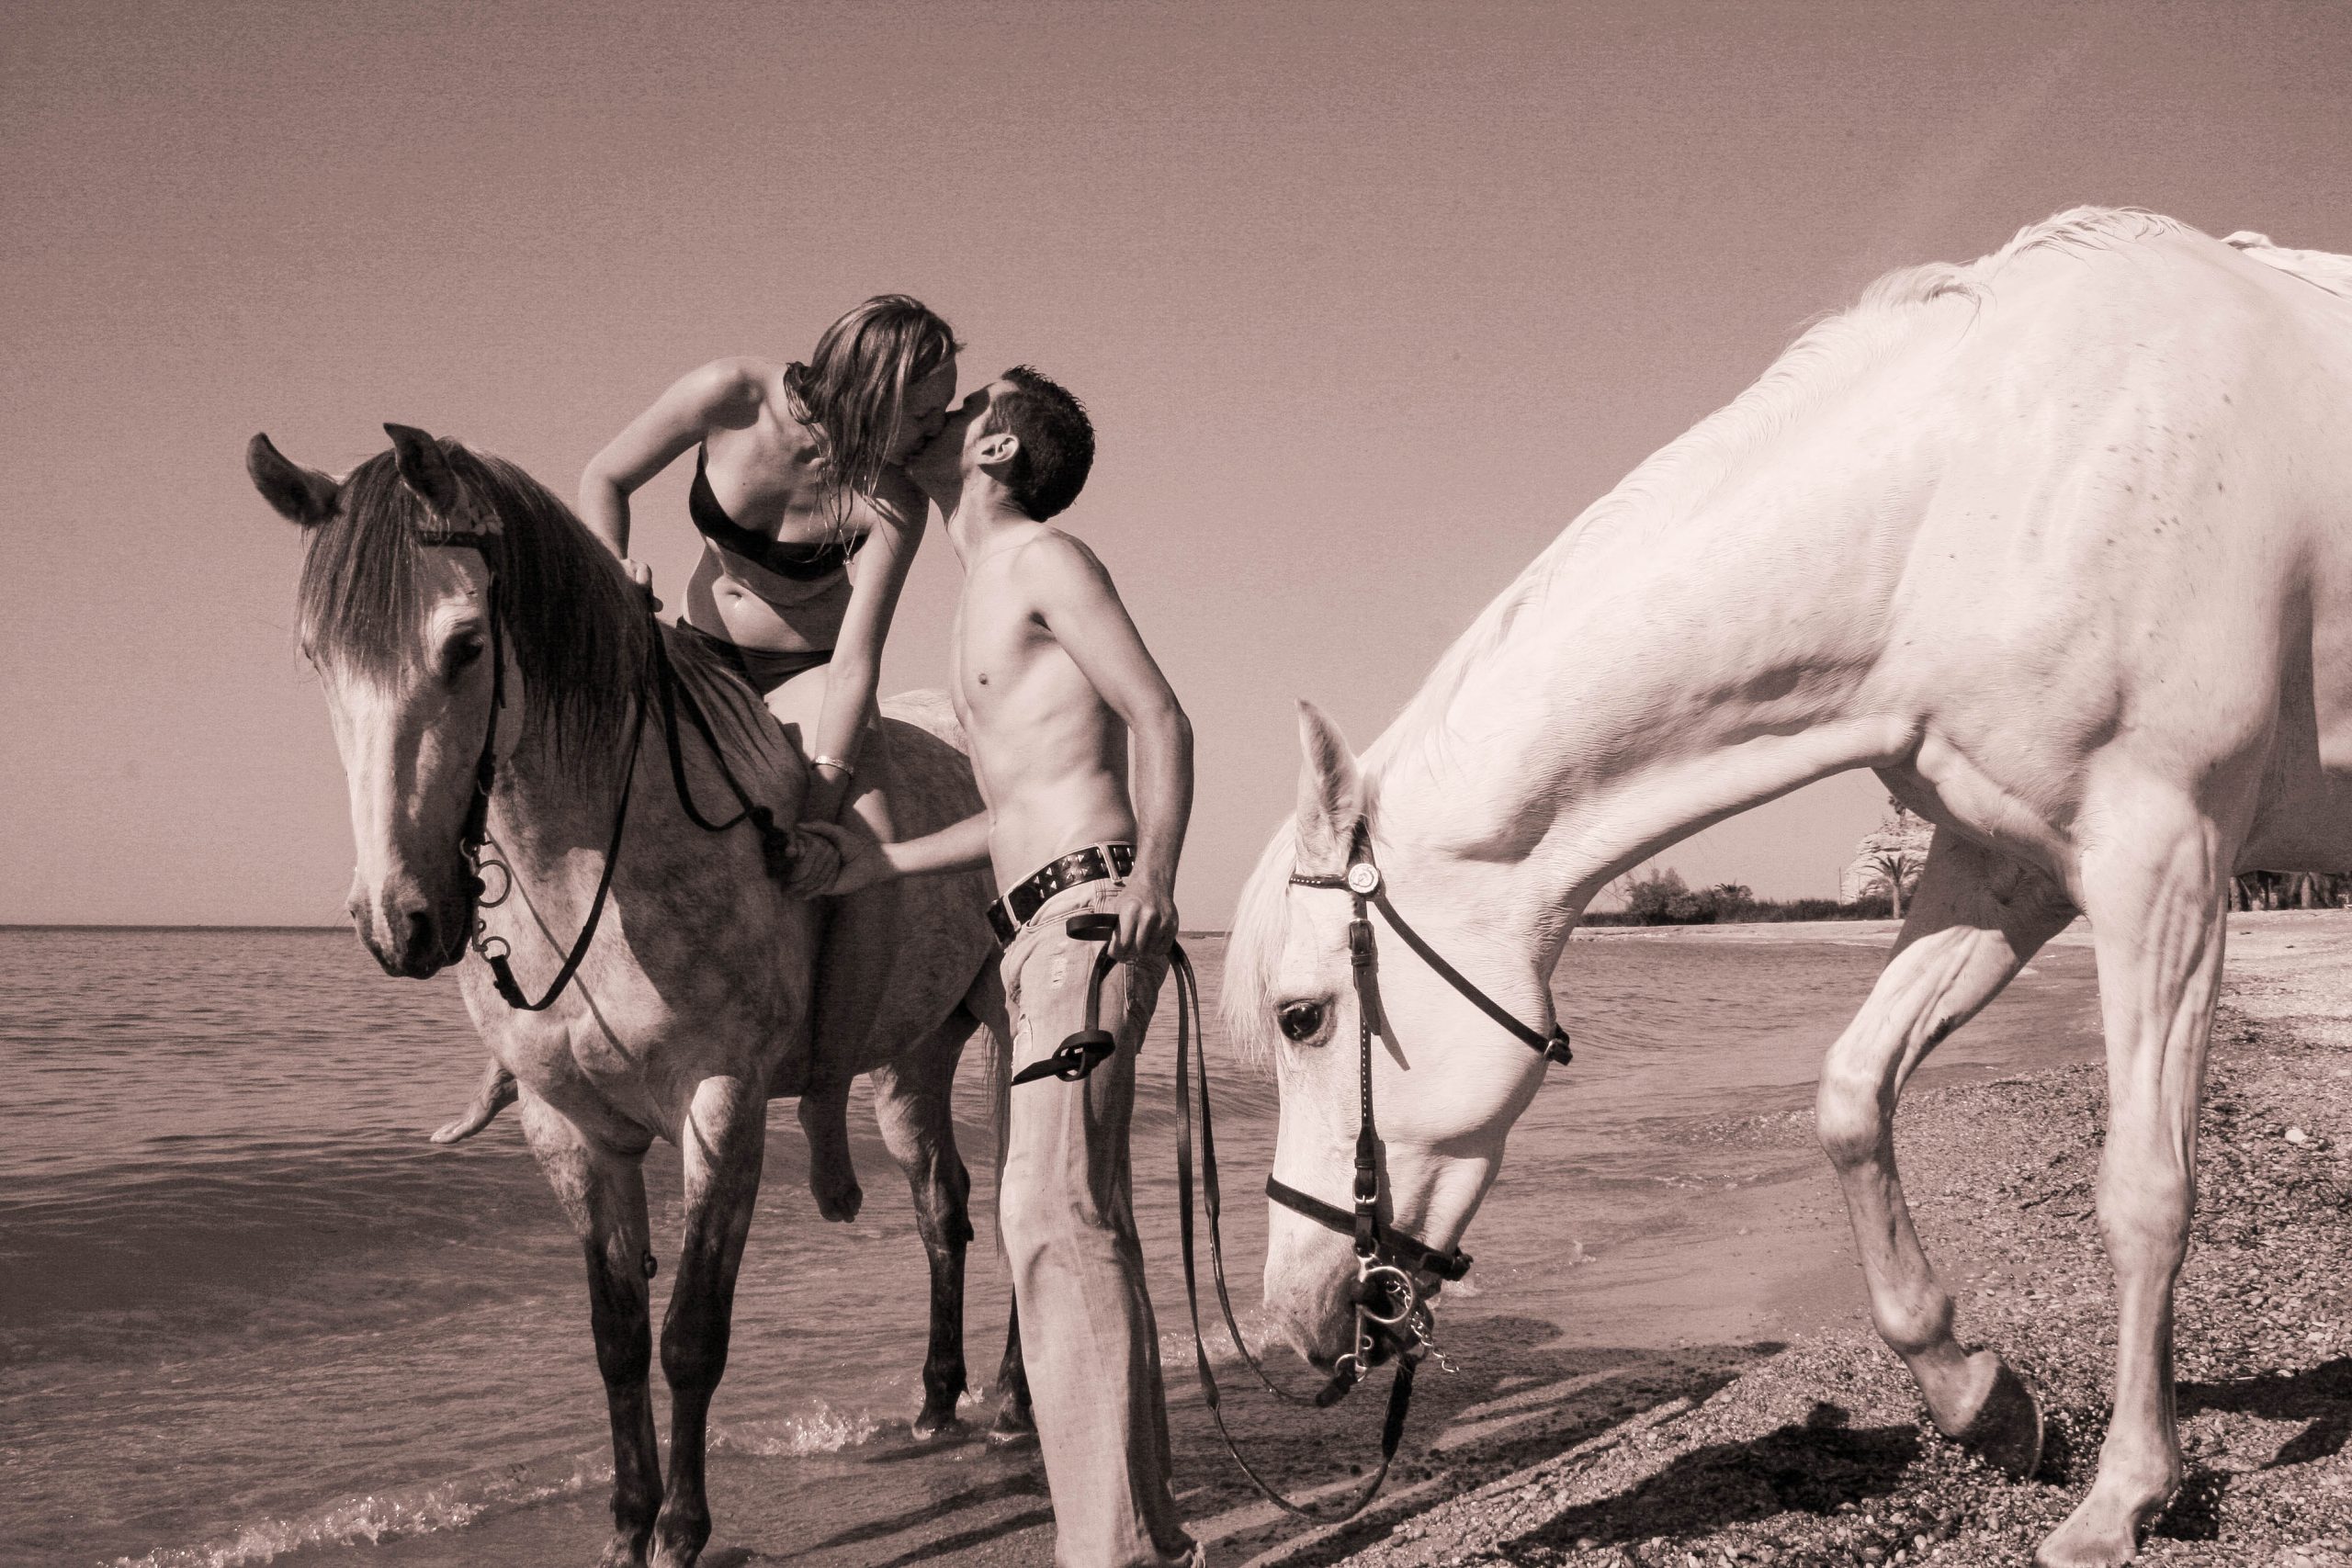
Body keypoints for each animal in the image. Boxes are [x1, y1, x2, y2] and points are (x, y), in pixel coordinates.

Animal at [248, 424, 1022, 1568]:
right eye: (315, 657)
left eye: (465, 645)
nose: (400, 920)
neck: (596, 879)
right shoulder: (567, 1129)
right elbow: (615, 1338)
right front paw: (624, 1522)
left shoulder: (720, 1104)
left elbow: (691, 1334)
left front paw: (683, 1528)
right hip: (912, 1059)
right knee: (942, 1202)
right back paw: (935, 1401)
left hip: (1022, 1031)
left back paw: (1015, 1398)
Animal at [1222, 208, 2352, 1567]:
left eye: (1303, 1016)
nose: (1292, 1330)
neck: (1992, 478)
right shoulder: (2009, 866)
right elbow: (1851, 1096)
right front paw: (1985, 1400)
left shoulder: (2164, 861)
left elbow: (2145, 1186)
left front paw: (2124, 1495)